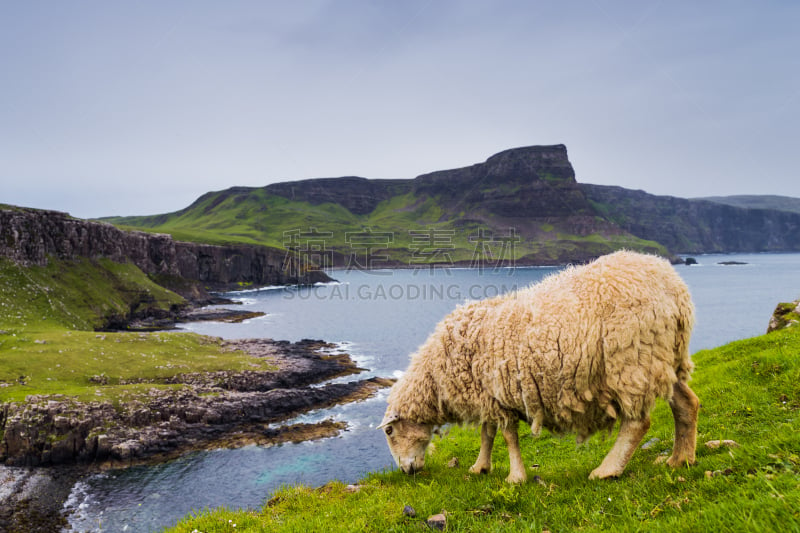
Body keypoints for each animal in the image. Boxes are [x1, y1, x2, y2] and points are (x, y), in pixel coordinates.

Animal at [378, 249, 696, 482]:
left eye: (389, 432)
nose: (406, 470)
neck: (438, 372)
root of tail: (674, 287)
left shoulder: (498, 396)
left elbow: (508, 436)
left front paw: (515, 477)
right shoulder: (489, 395)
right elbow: (487, 433)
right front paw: (480, 467)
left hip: (632, 361)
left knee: (637, 422)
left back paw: (607, 470)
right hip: (664, 357)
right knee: (687, 403)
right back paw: (680, 459)